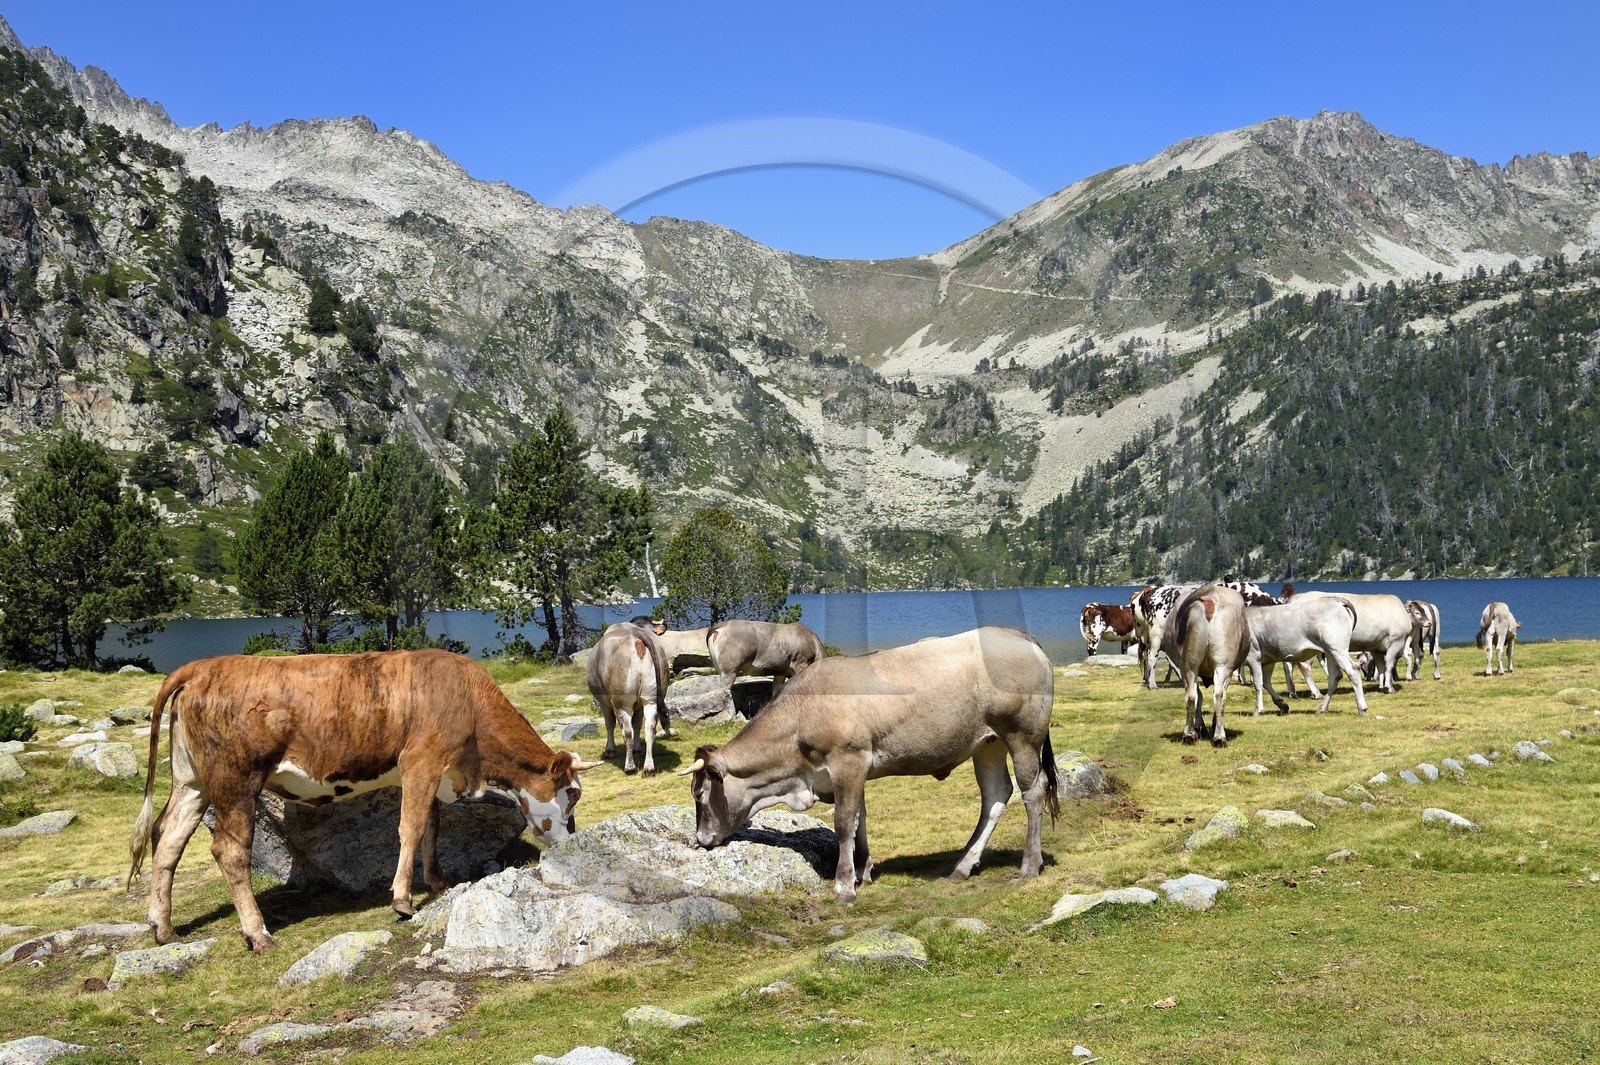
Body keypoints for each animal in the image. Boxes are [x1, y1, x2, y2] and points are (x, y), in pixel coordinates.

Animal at [127, 651, 598, 953]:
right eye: (572, 793)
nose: (573, 840)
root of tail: (201, 667)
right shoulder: (421, 761)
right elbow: (411, 827)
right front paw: (403, 900)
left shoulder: (434, 772)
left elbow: (432, 825)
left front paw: (438, 883)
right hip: (236, 780)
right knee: (229, 850)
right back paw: (258, 934)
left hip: (192, 781)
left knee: (167, 838)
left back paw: (164, 930)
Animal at [587, 622, 672, 776]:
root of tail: (635, 633)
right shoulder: (639, 705)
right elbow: (638, 724)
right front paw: (638, 749)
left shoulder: (603, 702)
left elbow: (609, 724)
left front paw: (610, 750)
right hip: (651, 699)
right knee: (650, 728)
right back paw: (648, 768)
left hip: (622, 702)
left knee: (627, 731)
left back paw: (630, 767)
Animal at [678, 627, 1059, 901]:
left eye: (699, 795)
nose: (700, 839)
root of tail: (1017, 635)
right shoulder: (852, 772)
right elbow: (860, 819)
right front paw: (863, 871)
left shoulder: (848, 760)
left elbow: (844, 822)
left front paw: (844, 885)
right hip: (988, 743)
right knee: (995, 796)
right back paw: (963, 865)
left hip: (1022, 735)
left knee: (1033, 790)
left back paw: (1029, 864)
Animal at [1162, 585, 1251, 747]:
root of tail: (1210, 594)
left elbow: (1199, 696)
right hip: (1223, 665)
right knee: (1218, 695)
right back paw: (1216, 735)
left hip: (1190, 665)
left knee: (1193, 696)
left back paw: (1190, 735)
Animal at [1281, 588, 1412, 693]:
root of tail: (1295, 598)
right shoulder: (1396, 641)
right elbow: (1389, 665)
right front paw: (1389, 688)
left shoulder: (1377, 647)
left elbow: (1381, 668)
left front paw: (1381, 687)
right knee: (1304, 666)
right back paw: (1315, 693)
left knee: (1288, 665)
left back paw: (1292, 692)